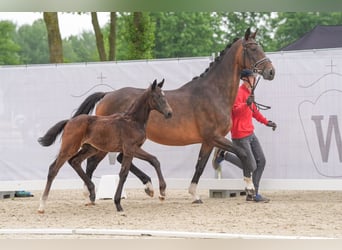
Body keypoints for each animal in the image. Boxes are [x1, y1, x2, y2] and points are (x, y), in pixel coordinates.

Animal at [37, 80, 172, 213]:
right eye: (157, 96)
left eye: (164, 96)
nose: (169, 113)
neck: (132, 121)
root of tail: (69, 121)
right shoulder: (130, 148)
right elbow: (124, 173)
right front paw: (118, 204)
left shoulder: (133, 148)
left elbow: (154, 160)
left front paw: (160, 192)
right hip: (69, 147)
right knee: (53, 169)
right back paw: (42, 206)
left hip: (90, 148)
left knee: (75, 161)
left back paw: (91, 192)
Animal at [71, 27, 276, 203]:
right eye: (253, 48)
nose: (271, 71)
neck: (214, 93)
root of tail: (107, 95)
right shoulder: (215, 137)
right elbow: (243, 154)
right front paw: (249, 188)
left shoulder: (208, 141)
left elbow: (200, 166)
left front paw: (194, 195)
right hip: (108, 142)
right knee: (92, 162)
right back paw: (90, 193)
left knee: (117, 159)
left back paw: (147, 187)